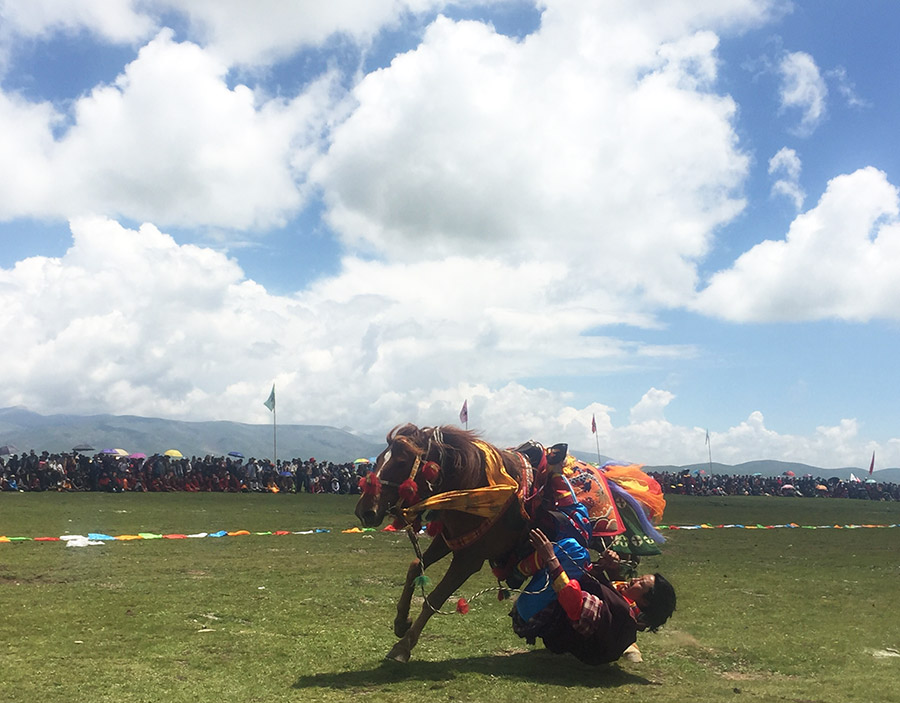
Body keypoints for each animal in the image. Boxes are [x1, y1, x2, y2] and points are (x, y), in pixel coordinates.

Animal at [354, 424, 536, 664]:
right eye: (380, 459)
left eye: (401, 462)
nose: (364, 511)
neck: (476, 490)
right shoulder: (448, 541)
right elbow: (415, 566)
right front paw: (401, 622)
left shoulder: (469, 560)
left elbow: (435, 597)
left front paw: (403, 646)